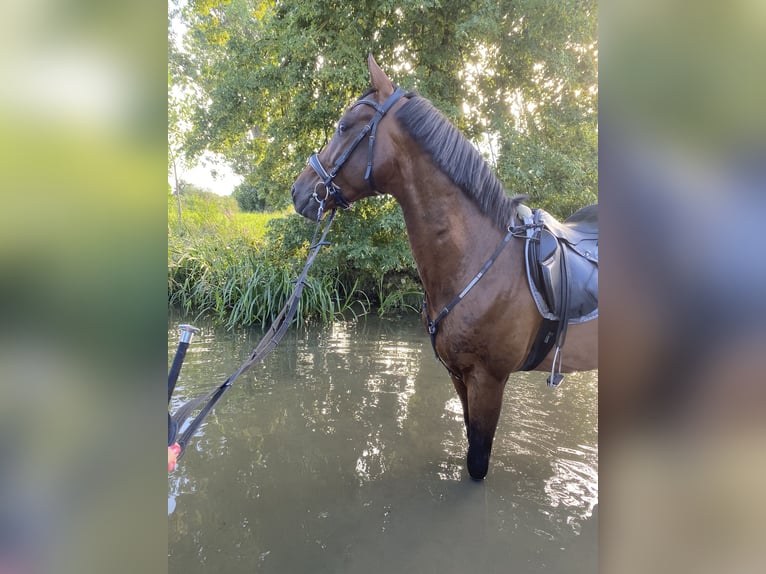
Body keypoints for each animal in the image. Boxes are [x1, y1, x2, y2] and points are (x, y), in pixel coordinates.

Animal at [292, 55, 596, 482]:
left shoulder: (489, 380)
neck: (476, 259)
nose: (298, 192)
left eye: (343, 126)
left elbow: (477, 462)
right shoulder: (459, 375)